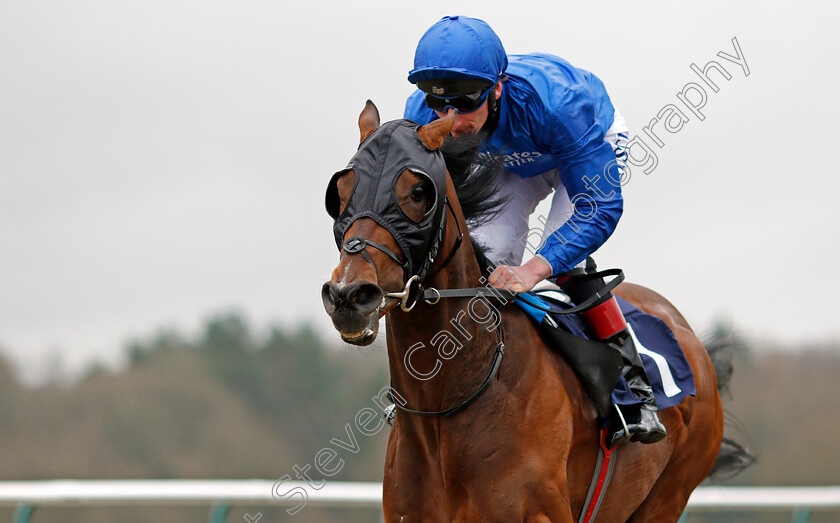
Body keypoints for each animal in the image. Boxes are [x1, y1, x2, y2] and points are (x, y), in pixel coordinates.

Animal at [324, 100, 748, 520]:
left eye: (416, 192)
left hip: (670, 493)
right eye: (340, 193)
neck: (444, 408)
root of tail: (688, 337)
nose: (349, 294)